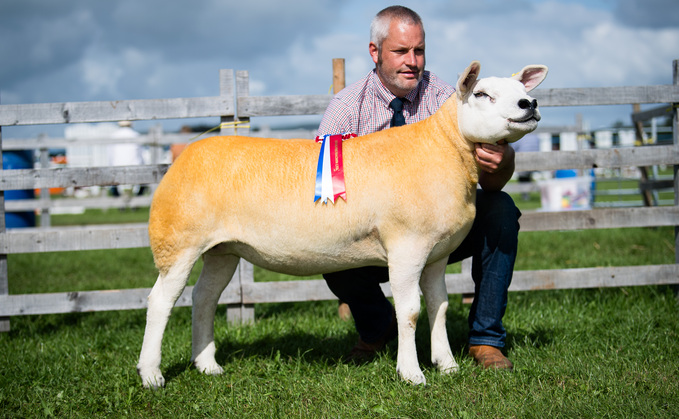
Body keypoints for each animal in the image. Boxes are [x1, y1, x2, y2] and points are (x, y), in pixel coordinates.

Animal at [137, 60, 548, 388]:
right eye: (481, 93)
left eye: (524, 91)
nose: (529, 105)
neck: (442, 145)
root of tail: (184, 155)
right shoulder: (406, 246)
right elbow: (410, 311)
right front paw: (412, 373)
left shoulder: (435, 255)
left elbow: (440, 307)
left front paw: (446, 365)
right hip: (178, 240)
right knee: (161, 301)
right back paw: (151, 374)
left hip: (223, 249)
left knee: (203, 298)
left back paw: (207, 365)